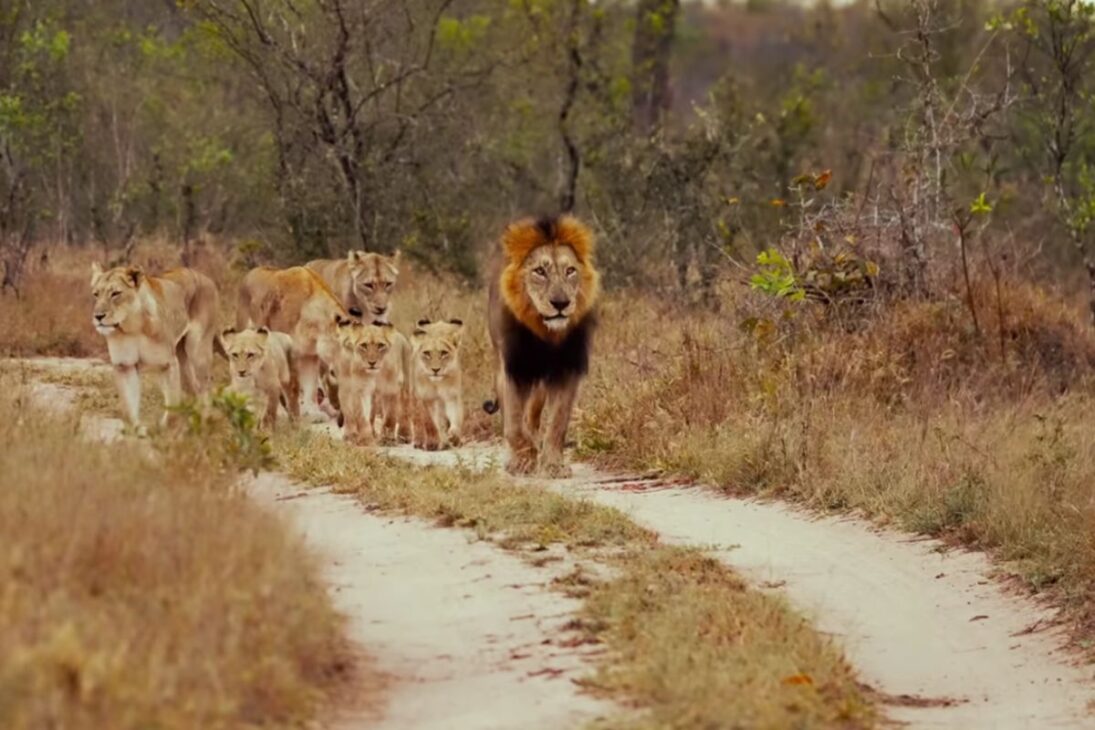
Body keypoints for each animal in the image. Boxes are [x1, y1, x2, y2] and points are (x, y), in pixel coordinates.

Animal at [90, 263, 219, 426]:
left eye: (115, 293)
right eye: (96, 294)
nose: (98, 316)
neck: (133, 326)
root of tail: (206, 278)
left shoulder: (168, 364)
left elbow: (172, 407)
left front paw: (166, 428)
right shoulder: (125, 366)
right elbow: (130, 410)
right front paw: (138, 429)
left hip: (198, 351)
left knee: (205, 388)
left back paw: (204, 421)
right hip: (181, 360)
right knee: (193, 389)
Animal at [410, 318, 465, 450]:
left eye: (444, 353)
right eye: (427, 353)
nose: (435, 370)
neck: (437, 383)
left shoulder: (452, 396)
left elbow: (455, 416)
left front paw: (454, 437)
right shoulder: (426, 398)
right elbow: (430, 422)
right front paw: (434, 443)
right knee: (417, 418)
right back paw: (419, 441)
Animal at [484, 214, 600, 477]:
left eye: (570, 271)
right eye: (539, 271)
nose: (561, 303)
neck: (545, 334)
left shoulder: (567, 369)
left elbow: (557, 422)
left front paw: (553, 464)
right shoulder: (513, 369)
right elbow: (514, 423)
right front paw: (522, 460)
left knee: (533, 412)